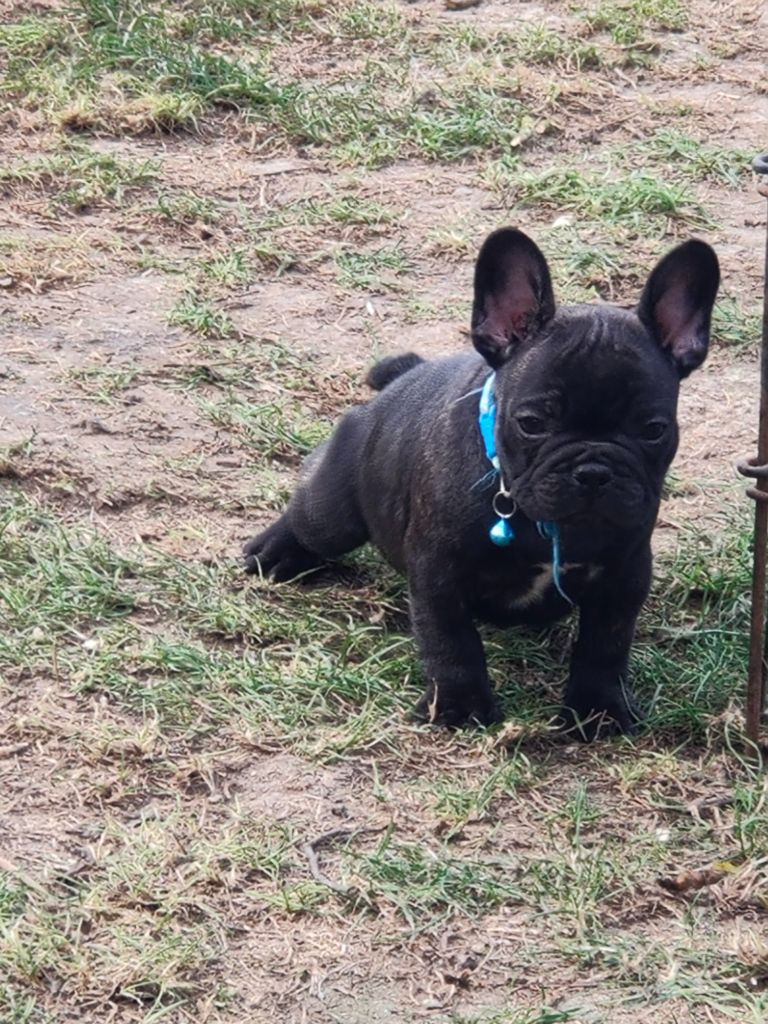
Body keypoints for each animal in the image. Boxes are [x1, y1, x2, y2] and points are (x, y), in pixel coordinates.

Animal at [246, 230, 720, 737]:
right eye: (531, 423)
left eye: (654, 430)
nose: (593, 470)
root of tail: (401, 381)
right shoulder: (438, 572)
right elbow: (451, 641)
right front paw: (460, 704)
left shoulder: (624, 575)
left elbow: (606, 646)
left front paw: (598, 710)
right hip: (336, 508)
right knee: (312, 514)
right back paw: (272, 551)